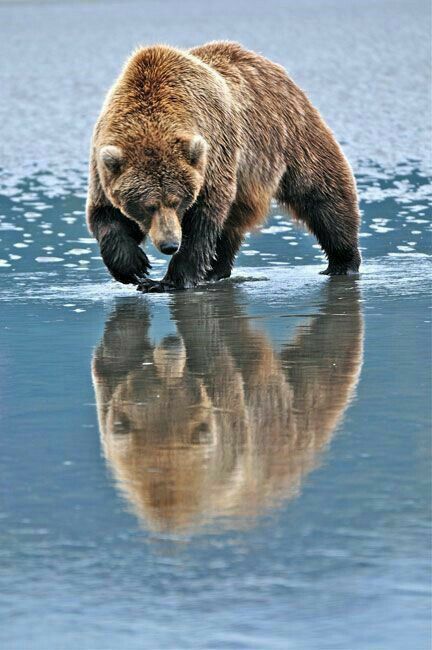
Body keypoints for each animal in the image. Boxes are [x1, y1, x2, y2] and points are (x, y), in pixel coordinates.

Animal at [86, 41, 360, 290]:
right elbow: (105, 215)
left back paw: (342, 261)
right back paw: (215, 270)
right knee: (229, 225)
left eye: (176, 201)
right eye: (148, 205)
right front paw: (133, 267)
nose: (169, 245)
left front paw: (168, 281)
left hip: (289, 135)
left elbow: (202, 220)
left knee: (322, 194)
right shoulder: (103, 164)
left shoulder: (212, 156)